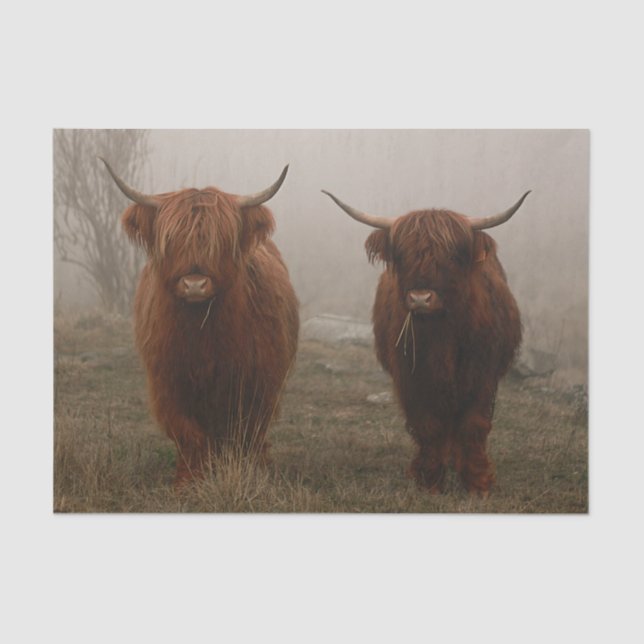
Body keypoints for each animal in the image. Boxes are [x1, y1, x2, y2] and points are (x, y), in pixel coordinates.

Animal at [101, 158, 299, 484]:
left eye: (220, 241)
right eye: (171, 240)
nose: (194, 285)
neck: (202, 333)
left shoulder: (258, 382)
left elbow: (247, 432)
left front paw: (250, 472)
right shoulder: (169, 383)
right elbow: (189, 434)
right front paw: (188, 481)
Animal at [322, 188, 529, 495]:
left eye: (452, 256)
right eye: (402, 255)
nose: (420, 298)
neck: (441, 334)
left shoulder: (482, 374)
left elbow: (473, 424)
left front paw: (478, 483)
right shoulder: (412, 376)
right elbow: (428, 424)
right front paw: (429, 481)